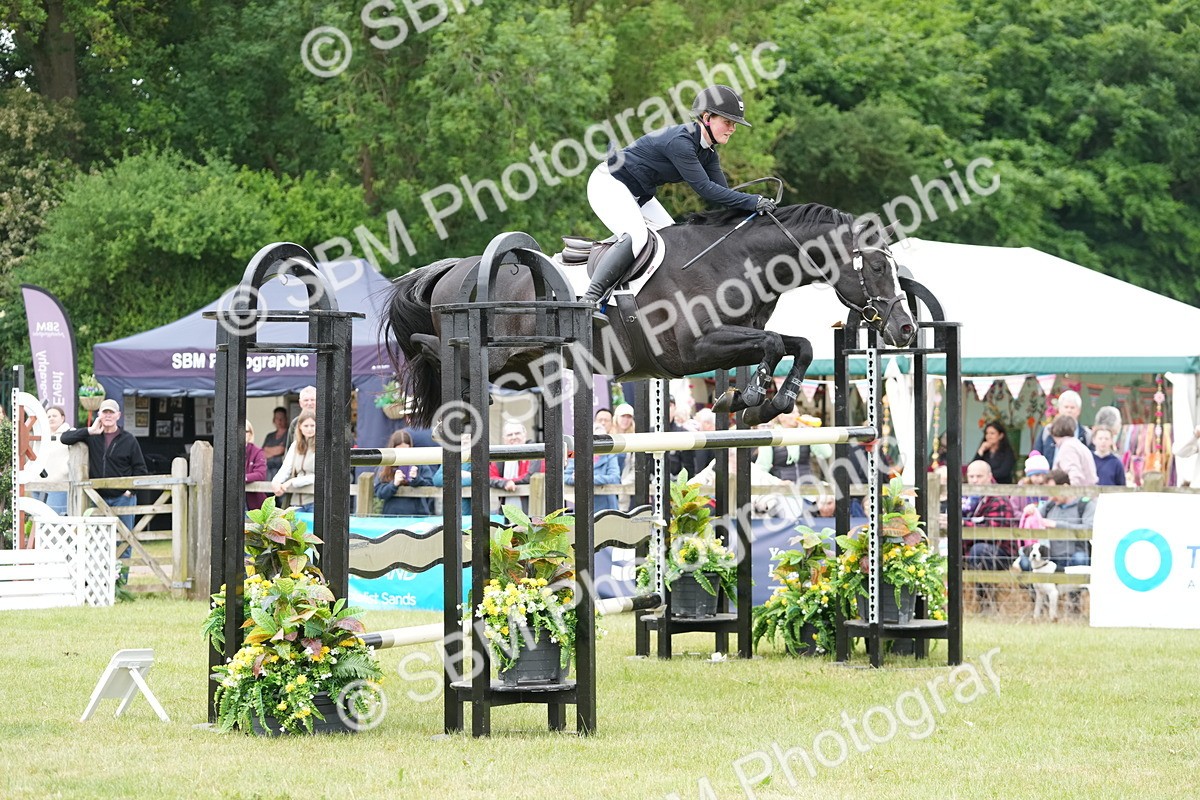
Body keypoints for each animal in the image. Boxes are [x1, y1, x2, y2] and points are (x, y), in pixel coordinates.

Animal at [384, 202, 916, 428]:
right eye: (875, 265)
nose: (906, 329)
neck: (735, 262)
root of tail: (457, 267)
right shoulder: (693, 352)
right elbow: (769, 346)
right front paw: (745, 397)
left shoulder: (735, 337)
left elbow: (797, 345)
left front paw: (769, 402)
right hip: (493, 355)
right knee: (431, 348)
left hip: (523, 366)